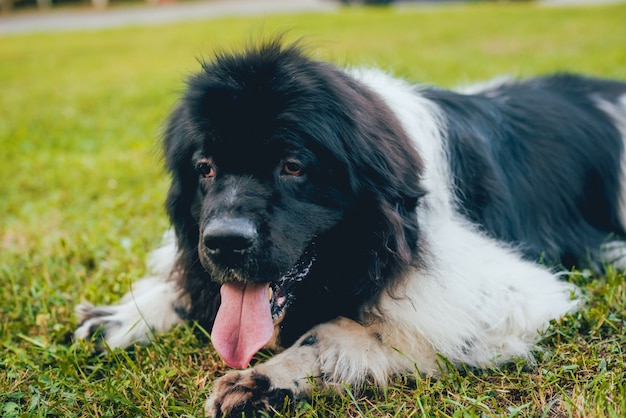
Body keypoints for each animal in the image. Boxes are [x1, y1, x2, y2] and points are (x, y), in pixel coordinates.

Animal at [74, 38, 624, 414]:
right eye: (205, 168)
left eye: (293, 166)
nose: (225, 242)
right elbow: (192, 286)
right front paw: (122, 317)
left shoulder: (502, 295)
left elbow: (345, 328)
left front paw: (268, 378)